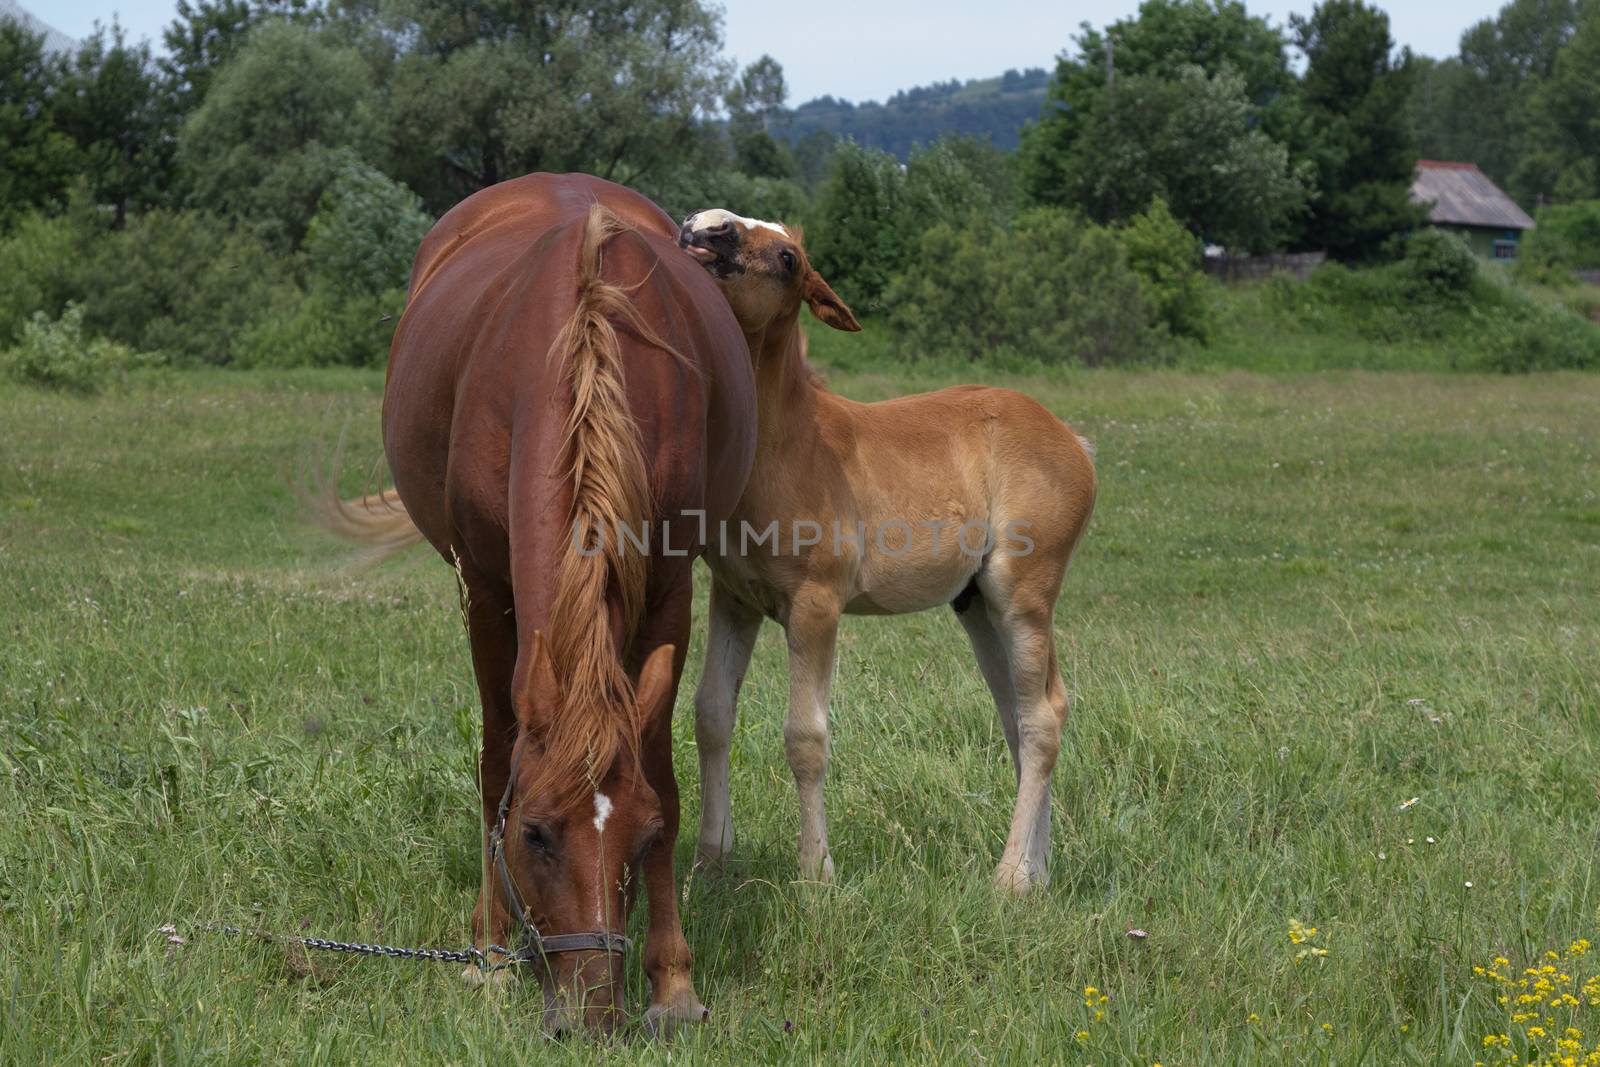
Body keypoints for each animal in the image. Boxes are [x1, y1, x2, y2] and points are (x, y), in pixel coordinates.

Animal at [675, 207, 1100, 895]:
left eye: (790, 258)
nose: (704, 228)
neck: (787, 445)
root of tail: (1075, 441)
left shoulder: (816, 605)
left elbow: (805, 737)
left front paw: (816, 875)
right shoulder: (734, 596)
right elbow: (711, 714)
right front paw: (710, 864)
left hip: (1023, 593)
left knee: (1041, 718)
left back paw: (1010, 879)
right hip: (977, 604)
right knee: (1024, 712)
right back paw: (1037, 874)